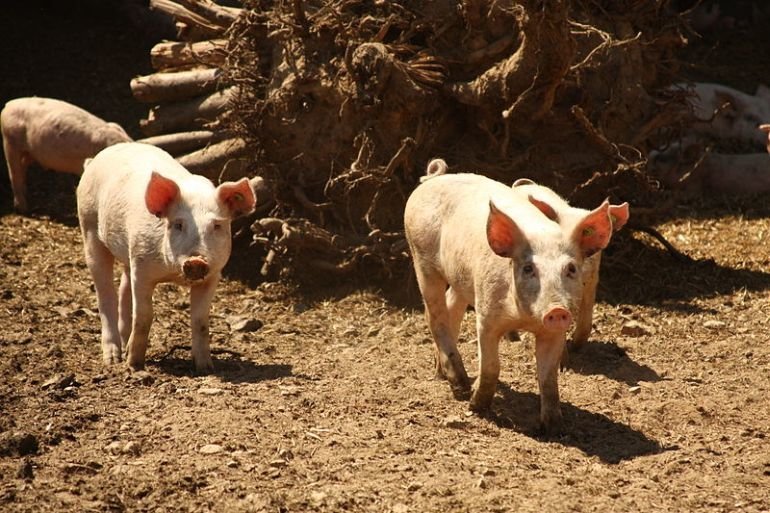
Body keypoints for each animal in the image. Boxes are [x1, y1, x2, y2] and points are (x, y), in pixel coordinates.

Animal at [1, 96, 131, 212]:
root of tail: (7, 106)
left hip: (30, 152)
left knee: (22, 168)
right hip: (10, 141)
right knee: (14, 174)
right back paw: (22, 209)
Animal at [78, 141, 258, 372]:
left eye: (217, 225)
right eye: (178, 224)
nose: (196, 260)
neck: (172, 274)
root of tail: (96, 159)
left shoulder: (212, 276)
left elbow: (200, 320)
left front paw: (206, 368)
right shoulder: (142, 268)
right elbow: (144, 315)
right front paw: (134, 366)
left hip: (127, 252)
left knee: (124, 288)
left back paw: (124, 346)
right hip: (89, 227)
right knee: (105, 294)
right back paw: (114, 359)